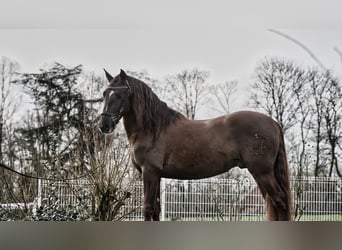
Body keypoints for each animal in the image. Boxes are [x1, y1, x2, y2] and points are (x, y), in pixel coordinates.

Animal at [99, 69, 292, 221]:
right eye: (105, 94)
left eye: (119, 95)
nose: (104, 125)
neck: (154, 129)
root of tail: (273, 122)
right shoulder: (156, 175)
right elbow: (155, 210)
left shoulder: (150, 172)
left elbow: (147, 208)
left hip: (262, 172)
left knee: (280, 201)